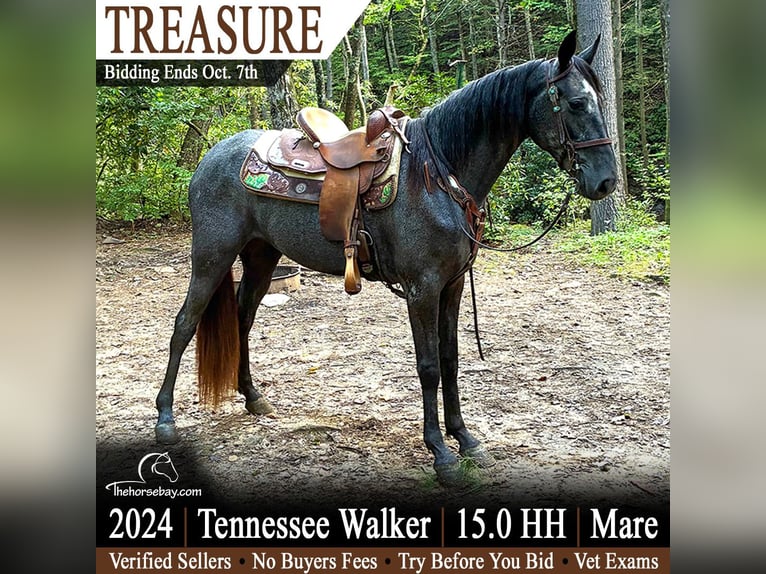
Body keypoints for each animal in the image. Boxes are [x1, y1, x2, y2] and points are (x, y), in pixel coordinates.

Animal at [154, 31, 617, 485]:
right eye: (576, 103)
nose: (606, 181)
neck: (439, 175)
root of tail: (210, 157)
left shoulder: (451, 287)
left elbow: (450, 359)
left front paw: (466, 439)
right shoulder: (422, 289)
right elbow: (428, 366)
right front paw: (440, 453)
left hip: (261, 257)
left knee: (243, 319)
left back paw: (253, 398)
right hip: (212, 255)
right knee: (184, 324)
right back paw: (165, 418)